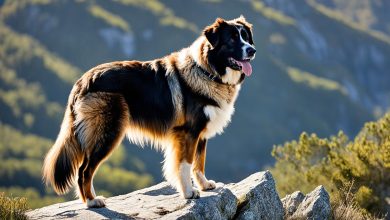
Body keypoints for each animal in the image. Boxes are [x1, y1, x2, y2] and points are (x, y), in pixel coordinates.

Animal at [43, 15, 256, 208]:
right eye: (232, 39)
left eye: (245, 37)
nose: (252, 50)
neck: (207, 70)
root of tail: (82, 81)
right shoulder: (188, 132)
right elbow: (186, 163)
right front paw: (188, 192)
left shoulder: (201, 132)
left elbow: (199, 162)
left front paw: (204, 185)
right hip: (108, 132)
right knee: (84, 171)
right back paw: (92, 201)